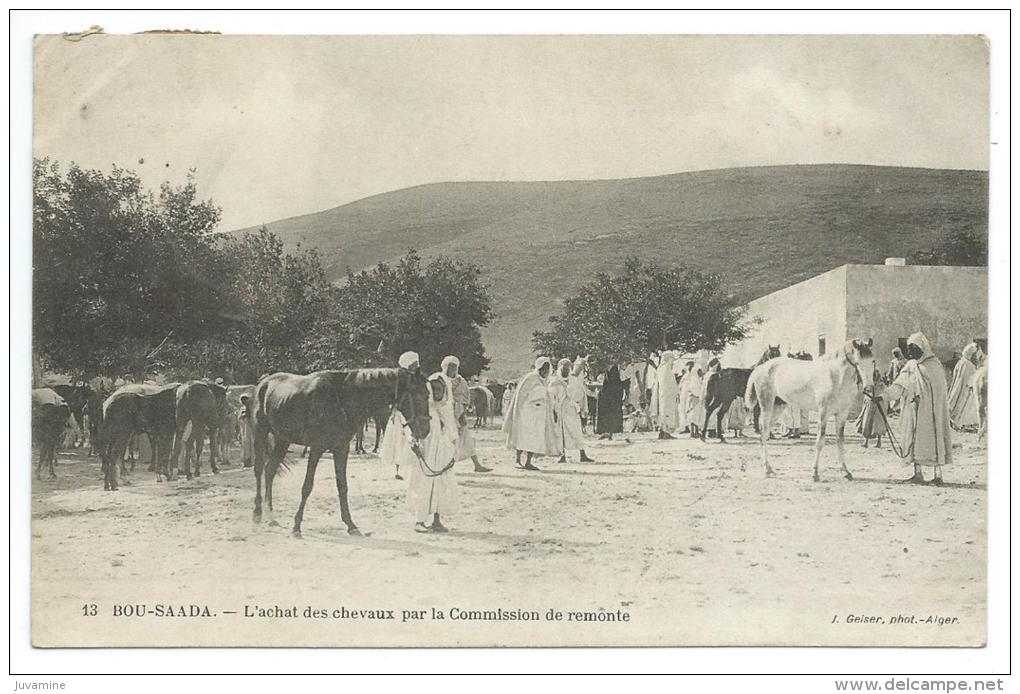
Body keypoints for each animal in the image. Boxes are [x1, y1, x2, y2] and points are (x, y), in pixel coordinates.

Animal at [252, 368, 431, 537]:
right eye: (419, 394)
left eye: (428, 394)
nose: (426, 430)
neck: (341, 399)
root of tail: (263, 383)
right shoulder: (317, 448)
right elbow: (307, 486)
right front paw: (296, 526)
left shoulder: (341, 448)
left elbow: (342, 486)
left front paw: (351, 525)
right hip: (260, 432)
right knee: (259, 469)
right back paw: (257, 513)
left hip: (283, 440)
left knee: (270, 471)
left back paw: (270, 516)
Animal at [744, 339, 875, 481]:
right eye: (857, 362)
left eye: (873, 361)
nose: (869, 388)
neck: (835, 376)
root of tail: (760, 368)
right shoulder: (823, 413)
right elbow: (820, 442)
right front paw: (815, 473)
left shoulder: (842, 414)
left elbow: (840, 441)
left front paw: (846, 472)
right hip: (766, 405)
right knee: (763, 433)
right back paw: (766, 470)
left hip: (778, 408)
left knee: (765, 432)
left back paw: (770, 468)